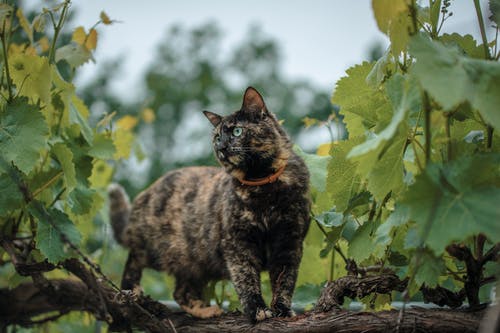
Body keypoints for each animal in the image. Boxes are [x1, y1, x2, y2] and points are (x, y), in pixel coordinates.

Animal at [110, 87, 310, 320]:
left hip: (194, 262)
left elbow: (285, 280)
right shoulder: (238, 243)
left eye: (237, 132)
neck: (263, 189)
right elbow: (246, 279)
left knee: (181, 292)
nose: (221, 146)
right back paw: (131, 290)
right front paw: (257, 310)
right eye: (217, 137)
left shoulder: (289, 241)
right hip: (152, 248)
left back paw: (207, 311)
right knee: (133, 258)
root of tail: (148, 191)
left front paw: (282, 310)